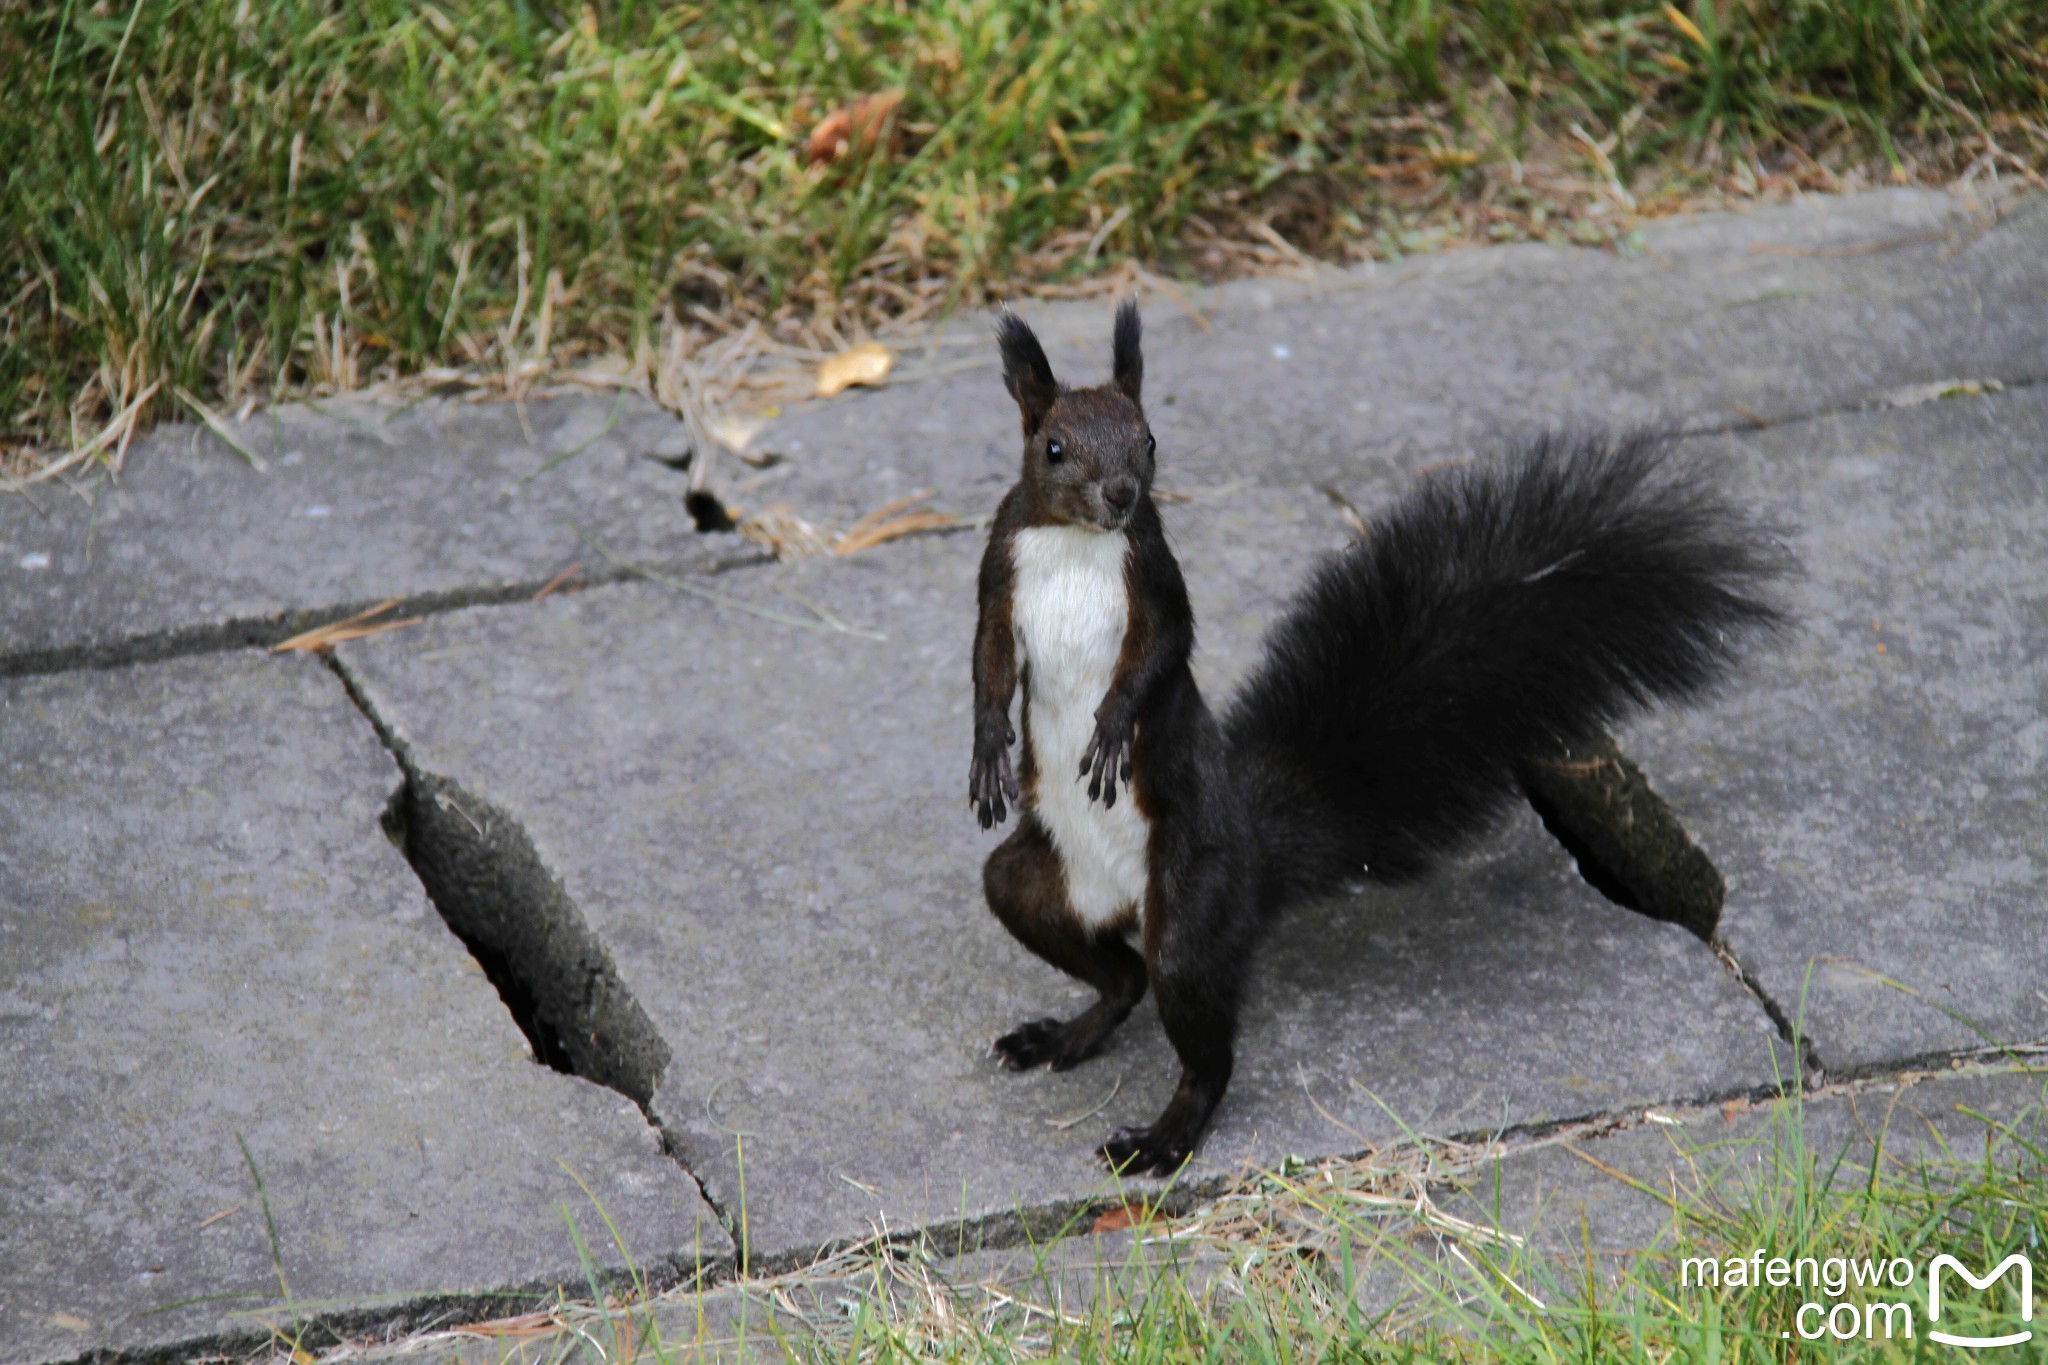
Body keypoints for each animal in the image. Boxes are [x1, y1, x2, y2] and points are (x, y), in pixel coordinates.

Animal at [966, 300, 1785, 1178]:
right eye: (1053, 446)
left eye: (1150, 439)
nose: (1120, 492)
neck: (1079, 543)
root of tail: (1246, 856)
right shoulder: (999, 570)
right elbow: (988, 663)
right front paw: (988, 753)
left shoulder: (1154, 577)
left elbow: (1160, 653)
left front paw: (1115, 725)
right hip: (1034, 882)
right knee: (1112, 972)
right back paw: (1064, 1034)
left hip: (1188, 895)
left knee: (1189, 1021)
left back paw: (1165, 1135)